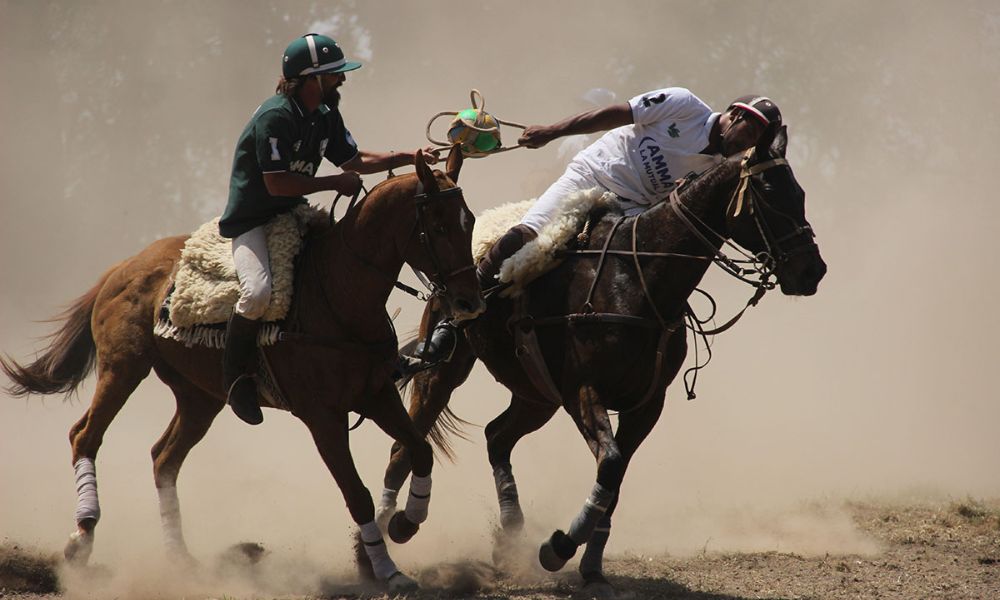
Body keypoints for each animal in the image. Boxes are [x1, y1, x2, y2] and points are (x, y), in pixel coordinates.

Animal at [0, 149, 484, 592]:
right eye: (438, 225)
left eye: (470, 221)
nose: (470, 302)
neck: (337, 297)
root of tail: (122, 267)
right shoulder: (323, 418)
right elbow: (358, 494)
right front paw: (386, 571)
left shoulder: (376, 395)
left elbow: (419, 450)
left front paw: (406, 522)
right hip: (123, 368)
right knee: (86, 436)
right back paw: (81, 540)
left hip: (201, 396)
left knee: (163, 458)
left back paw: (180, 561)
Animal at [376, 126, 828, 596]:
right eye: (771, 194)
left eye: (800, 193)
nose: (812, 271)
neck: (639, 279)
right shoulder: (584, 390)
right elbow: (609, 464)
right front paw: (557, 547)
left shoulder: (646, 404)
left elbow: (614, 480)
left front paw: (590, 567)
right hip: (445, 373)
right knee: (404, 445)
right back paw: (388, 534)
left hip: (537, 393)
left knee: (497, 436)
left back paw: (510, 536)